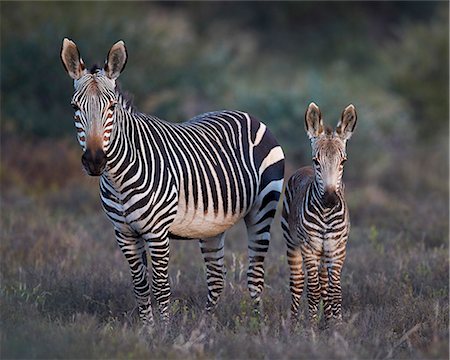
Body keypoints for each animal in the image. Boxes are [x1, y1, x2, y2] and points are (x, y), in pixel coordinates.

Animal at [60, 38, 284, 328]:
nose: (95, 161)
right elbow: (140, 285)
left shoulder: (157, 233)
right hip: (212, 226)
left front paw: (164, 332)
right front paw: (147, 329)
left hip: (262, 210)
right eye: (75, 108)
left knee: (255, 276)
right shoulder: (124, 233)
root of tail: (248, 115)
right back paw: (205, 326)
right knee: (216, 278)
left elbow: (161, 286)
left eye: (112, 108)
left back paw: (258, 326)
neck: (118, 179)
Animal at [282, 102, 358, 324]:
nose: (331, 200)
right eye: (316, 160)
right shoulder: (309, 247)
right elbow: (313, 290)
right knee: (298, 282)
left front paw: (336, 323)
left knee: (324, 284)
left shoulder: (338, 248)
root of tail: (302, 169)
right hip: (293, 243)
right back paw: (293, 322)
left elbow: (335, 290)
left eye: (343, 162)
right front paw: (311, 325)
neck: (326, 215)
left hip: (325, 251)